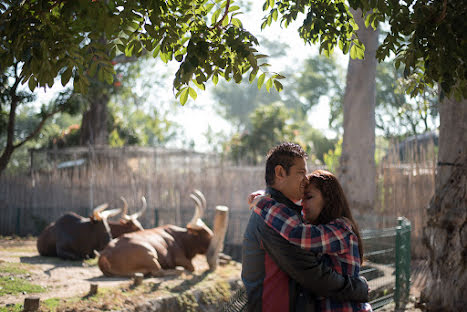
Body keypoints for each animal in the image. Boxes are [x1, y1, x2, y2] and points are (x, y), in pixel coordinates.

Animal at [98, 190, 229, 276]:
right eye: (206, 233)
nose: (221, 247)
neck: (179, 237)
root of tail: (105, 254)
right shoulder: (179, 258)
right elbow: (192, 267)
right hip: (149, 252)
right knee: (158, 271)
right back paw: (179, 270)